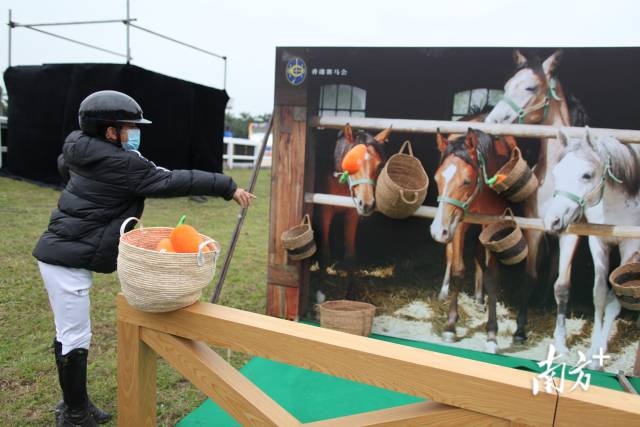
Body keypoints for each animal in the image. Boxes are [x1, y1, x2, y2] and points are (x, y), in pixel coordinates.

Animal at [318, 122, 392, 300]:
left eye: (380, 165)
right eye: (349, 163)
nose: (367, 204)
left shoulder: (352, 214)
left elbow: (350, 256)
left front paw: (349, 294)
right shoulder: (325, 212)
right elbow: (325, 254)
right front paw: (321, 291)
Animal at [428, 128, 516, 354]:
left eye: (466, 181)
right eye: (436, 178)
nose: (437, 231)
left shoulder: (493, 225)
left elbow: (492, 278)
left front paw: (492, 335)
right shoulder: (458, 223)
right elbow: (458, 270)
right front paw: (450, 327)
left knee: (478, 253)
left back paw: (479, 298)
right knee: (451, 254)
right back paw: (444, 291)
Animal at [544, 129, 640, 370]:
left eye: (586, 175)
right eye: (557, 172)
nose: (552, 220)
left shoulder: (631, 246)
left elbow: (615, 299)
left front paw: (598, 356)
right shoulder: (598, 241)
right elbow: (599, 294)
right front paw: (593, 348)